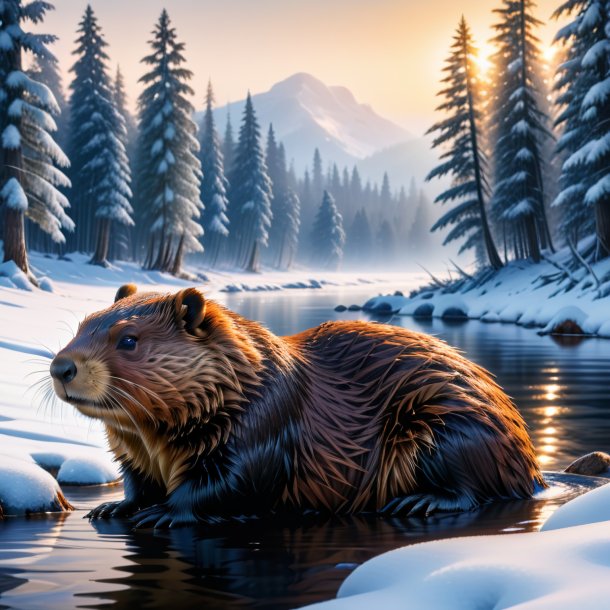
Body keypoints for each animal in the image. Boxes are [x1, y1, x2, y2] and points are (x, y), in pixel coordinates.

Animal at [51, 282, 540, 524]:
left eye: (129, 340)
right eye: (83, 324)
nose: (61, 368)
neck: (240, 378)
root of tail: (533, 472)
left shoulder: (265, 420)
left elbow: (231, 484)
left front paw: (162, 514)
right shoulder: (134, 448)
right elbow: (137, 480)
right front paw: (112, 507)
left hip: (446, 424)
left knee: (472, 489)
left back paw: (418, 502)